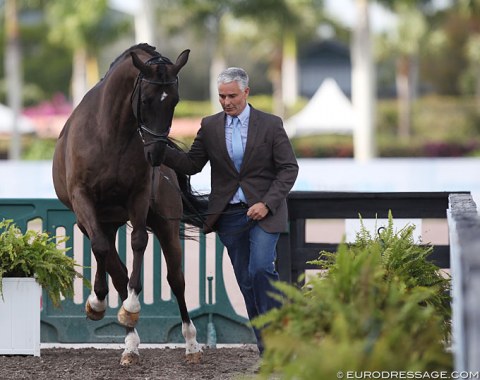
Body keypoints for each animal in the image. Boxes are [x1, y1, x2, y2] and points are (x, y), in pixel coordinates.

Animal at [52, 43, 202, 366]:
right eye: (145, 100)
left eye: (175, 101)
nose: (157, 154)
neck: (111, 133)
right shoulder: (84, 200)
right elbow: (102, 251)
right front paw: (98, 302)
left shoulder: (139, 196)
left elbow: (138, 242)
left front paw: (131, 305)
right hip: (99, 220)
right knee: (111, 261)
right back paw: (129, 342)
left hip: (165, 225)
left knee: (176, 279)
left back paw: (190, 343)